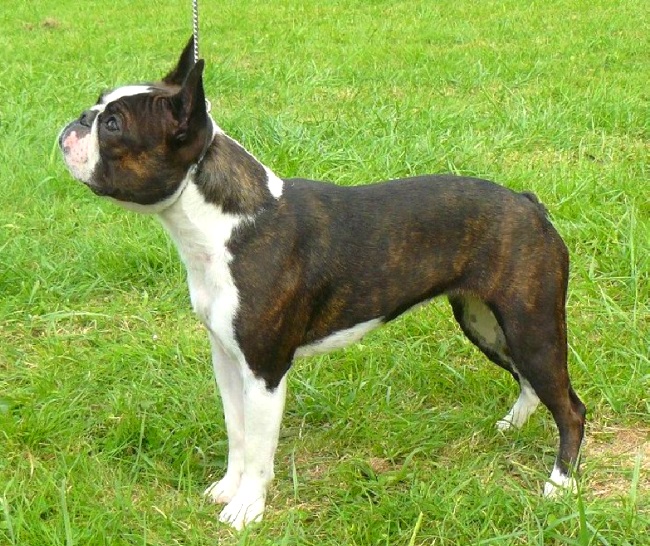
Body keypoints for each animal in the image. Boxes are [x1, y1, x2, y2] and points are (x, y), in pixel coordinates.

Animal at [59, 38, 586, 530]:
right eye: (99, 104)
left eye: (113, 126)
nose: (80, 118)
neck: (223, 224)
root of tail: (529, 204)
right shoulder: (226, 358)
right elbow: (237, 432)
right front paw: (227, 488)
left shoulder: (265, 371)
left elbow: (259, 448)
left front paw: (246, 509)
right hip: (485, 321)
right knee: (532, 383)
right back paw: (511, 426)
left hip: (531, 324)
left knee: (570, 406)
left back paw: (559, 485)